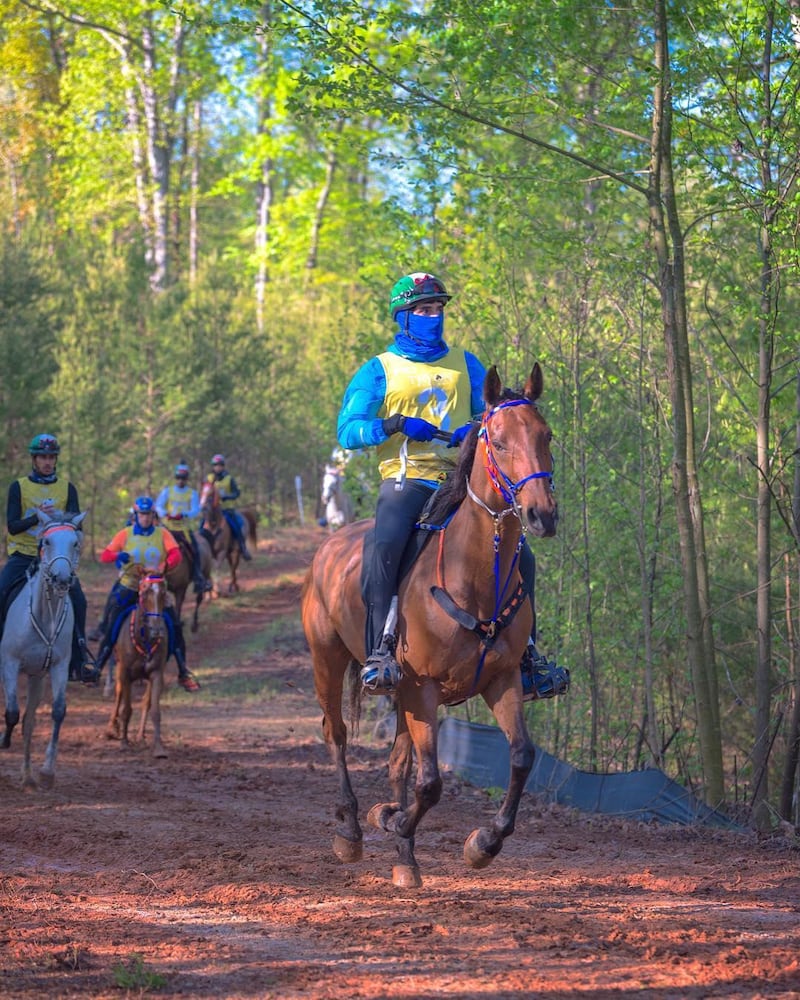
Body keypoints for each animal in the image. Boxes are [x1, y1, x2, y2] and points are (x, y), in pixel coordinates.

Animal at [0, 516, 87, 788]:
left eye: (75, 543)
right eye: (46, 542)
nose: (62, 579)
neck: (45, 615)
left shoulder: (59, 666)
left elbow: (57, 711)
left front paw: (46, 772)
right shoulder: (9, 663)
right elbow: (12, 712)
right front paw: (3, 741)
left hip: (36, 677)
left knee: (29, 722)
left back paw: (27, 777)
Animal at [106, 572, 169, 756]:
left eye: (163, 593)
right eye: (144, 592)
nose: (157, 630)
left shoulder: (157, 673)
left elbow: (154, 709)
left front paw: (159, 748)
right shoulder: (125, 672)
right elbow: (126, 709)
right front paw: (124, 743)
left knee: (145, 702)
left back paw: (140, 737)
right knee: (119, 693)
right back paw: (112, 728)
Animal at [300, 364, 556, 888]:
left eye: (546, 436)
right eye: (499, 441)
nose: (541, 514)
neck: (473, 577)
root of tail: (329, 545)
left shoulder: (500, 680)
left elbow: (521, 757)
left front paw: (482, 843)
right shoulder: (423, 688)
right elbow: (432, 783)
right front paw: (402, 834)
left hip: (400, 694)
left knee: (398, 760)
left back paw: (392, 831)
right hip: (329, 661)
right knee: (336, 732)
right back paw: (351, 828)